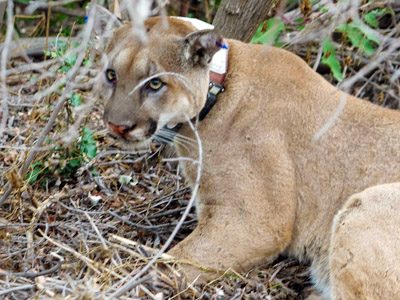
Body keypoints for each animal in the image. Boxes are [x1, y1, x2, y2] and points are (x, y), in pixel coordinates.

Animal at [99, 13, 400, 300]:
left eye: (155, 83)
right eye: (111, 75)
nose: (117, 126)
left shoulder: (255, 221)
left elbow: (169, 262)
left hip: (367, 204)